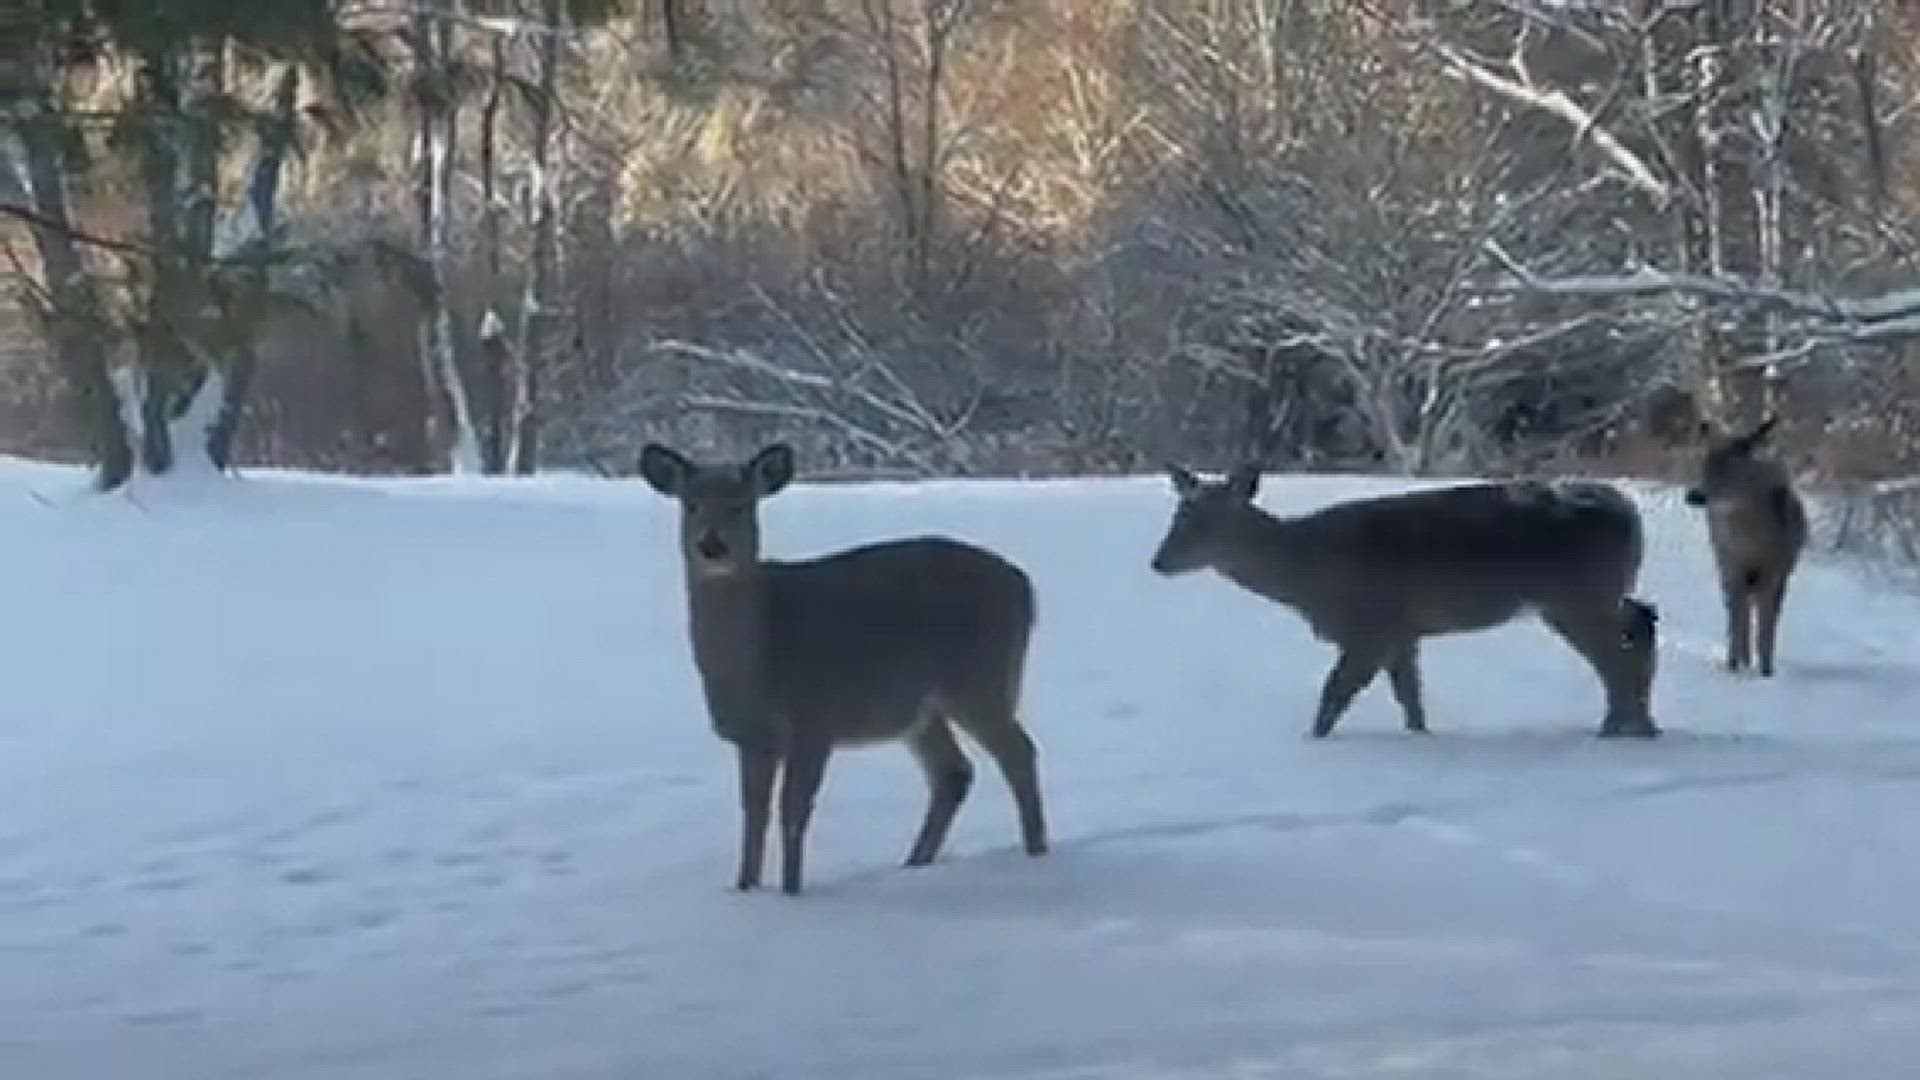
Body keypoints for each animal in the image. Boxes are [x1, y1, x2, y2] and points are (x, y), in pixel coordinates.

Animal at [641, 438, 1052, 891]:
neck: (760, 657)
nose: (711, 544)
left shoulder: (814, 721)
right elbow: (754, 814)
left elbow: (793, 813)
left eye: (740, 505)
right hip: (922, 708)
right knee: (954, 772)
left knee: (1018, 752)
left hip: (979, 677)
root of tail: (1024, 584)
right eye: (691, 504)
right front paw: (745, 888)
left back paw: (1037, 853)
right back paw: (914, 864)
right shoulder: (753, 737)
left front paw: (791, 891)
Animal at [1144, 463, 1658, 737]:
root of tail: (1629, 512)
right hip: (1592, 594)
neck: (1306, 570)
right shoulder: (1402, 631)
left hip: (1574, 595)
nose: (1158, 561)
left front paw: (1311, 740)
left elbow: (1335, 691)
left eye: (1202, 520)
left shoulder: (1371, 623)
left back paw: (1615, 729)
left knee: (1616, 655)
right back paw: (1640, 726)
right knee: (1641, 621)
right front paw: (1420, 735)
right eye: (1177, 513)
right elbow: (1410, 696)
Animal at [1689, 411, 1804, 672]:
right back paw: (1741, 658)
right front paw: (1735, 662)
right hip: (1722, 561)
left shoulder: (1775, 570)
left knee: (1760, 610)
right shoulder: (1731, 564)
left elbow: (1767, 621)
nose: (1695, 495)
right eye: (1704, 466)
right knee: (1737, 609)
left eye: (1734, 468)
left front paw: (1766, 668)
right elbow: (1737, 615)